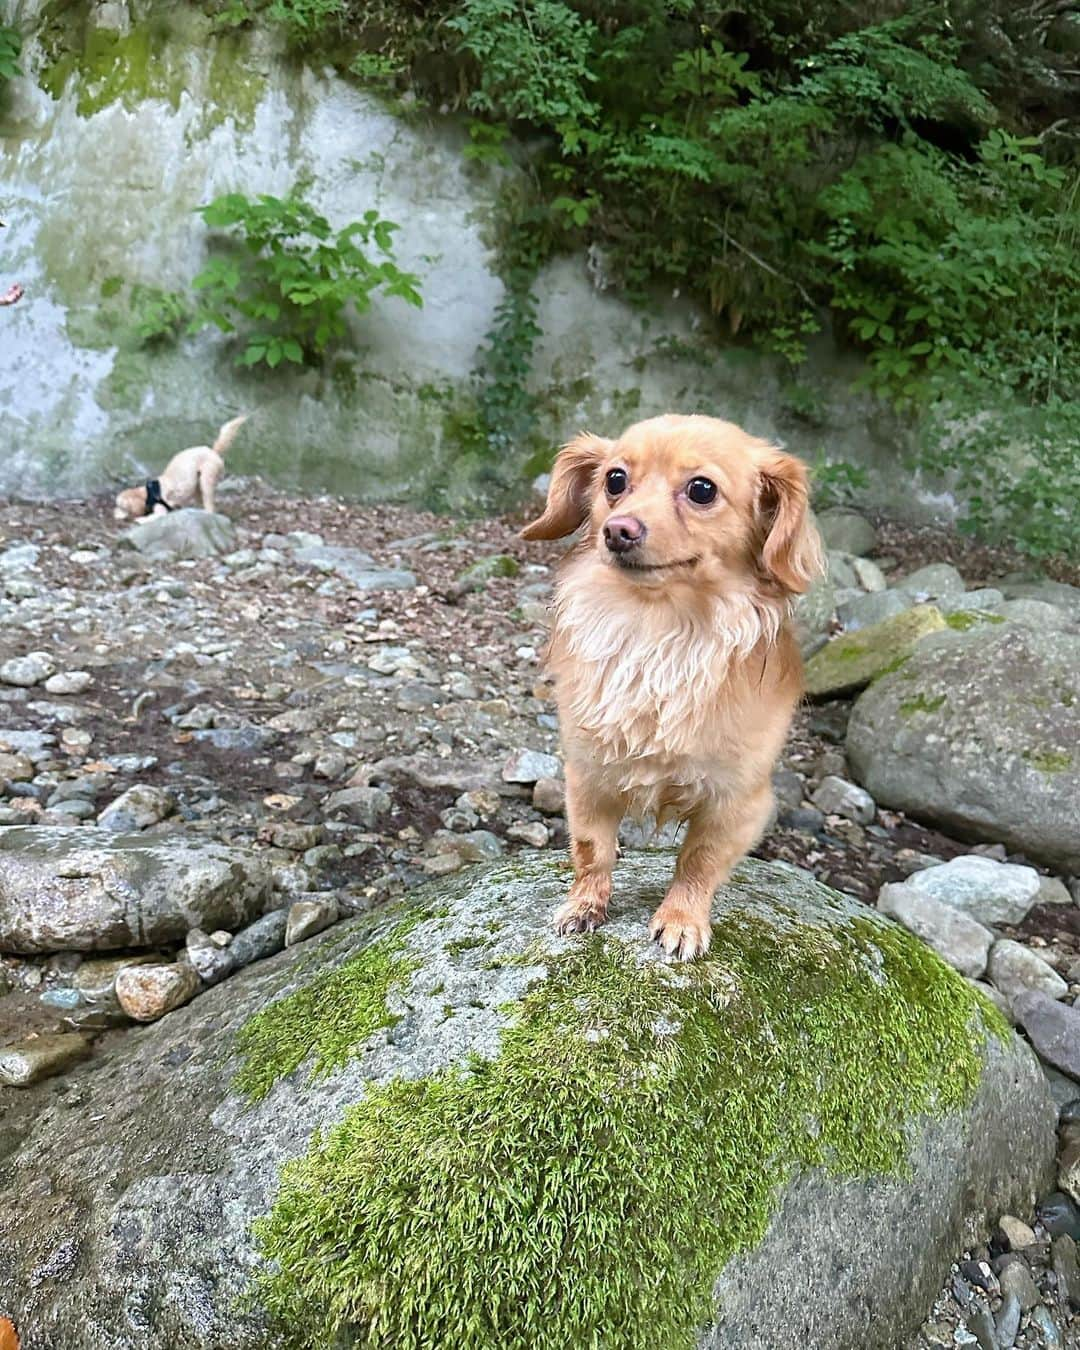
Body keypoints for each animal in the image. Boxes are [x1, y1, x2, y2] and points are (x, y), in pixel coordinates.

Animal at [113, 410, 248, 521]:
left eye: (121, 506)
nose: (114, 513)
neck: (147, 493)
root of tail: (212, 451)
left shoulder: (161, 509)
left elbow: (150, 518)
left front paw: (140, 519)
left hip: (207, 478)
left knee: (209, 503)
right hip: (197, 485)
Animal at [526, 410, 820, 961]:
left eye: (701, 489)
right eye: (614, 480)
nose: (618, 530)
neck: (659, 633)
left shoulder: (736, 802)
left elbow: (698, 863)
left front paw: (681, 921)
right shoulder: (587, 778)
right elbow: (593, 850)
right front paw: (584, 906)